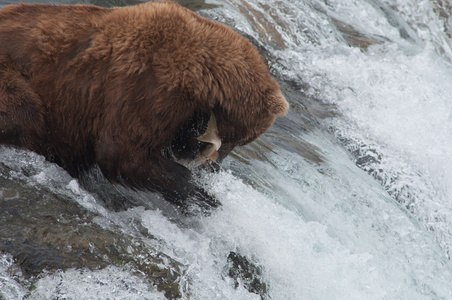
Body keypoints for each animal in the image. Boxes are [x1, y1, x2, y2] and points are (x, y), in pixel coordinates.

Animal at [0, 0, 288, 206]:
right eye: (237, 140)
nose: (214, 168)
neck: (202, 79)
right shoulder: (150, 85)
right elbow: (121, 148)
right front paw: (200, 194)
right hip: (14, 77)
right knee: (27, 114)